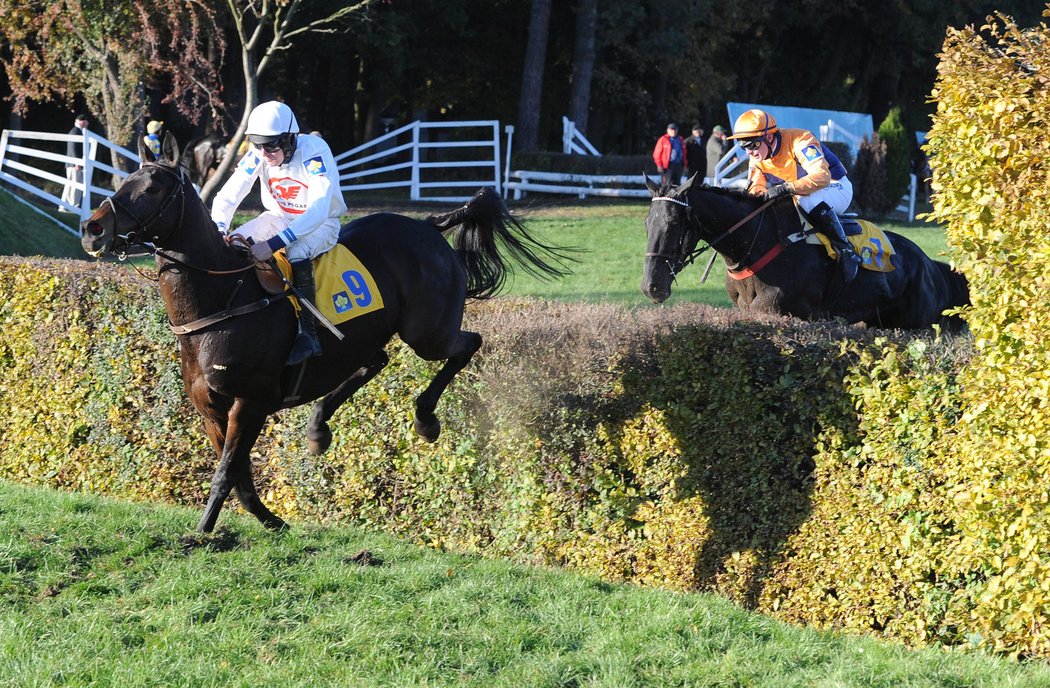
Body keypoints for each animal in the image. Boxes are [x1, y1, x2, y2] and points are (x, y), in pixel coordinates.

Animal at [79, 134, 575, 533]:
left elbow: (226, 472)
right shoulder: (210, 408)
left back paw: (424, 418)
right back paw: (319, 427)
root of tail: (427, 224)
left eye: (153, 188)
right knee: (376, 361)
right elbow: (238, 475)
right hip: (366, 336)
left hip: (428, 332)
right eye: (123, 181)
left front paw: (201, 532)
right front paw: (270, 521)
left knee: (467, 344)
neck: (219, 303)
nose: (92, 228)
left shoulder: (251, 402)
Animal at [638, 175, 965, 331]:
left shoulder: (787, 310)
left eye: (673, 223)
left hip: (917, 324)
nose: (651, 286)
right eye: (646, 223)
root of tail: (930, 265)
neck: (756, 245)